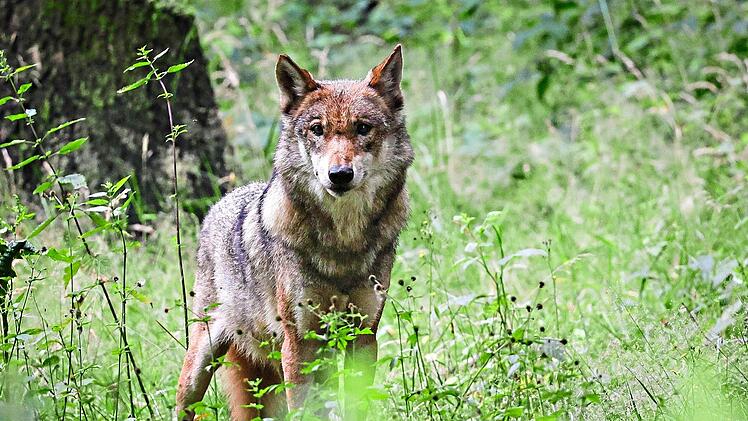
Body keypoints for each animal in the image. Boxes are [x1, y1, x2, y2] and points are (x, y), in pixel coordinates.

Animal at [175, 45, 413, 420]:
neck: (343, 243)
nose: (339, 175)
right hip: (202, 361)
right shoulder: (299, 341)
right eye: (317, 130)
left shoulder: (363, 335)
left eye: (363, 128)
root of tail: (221, 202)